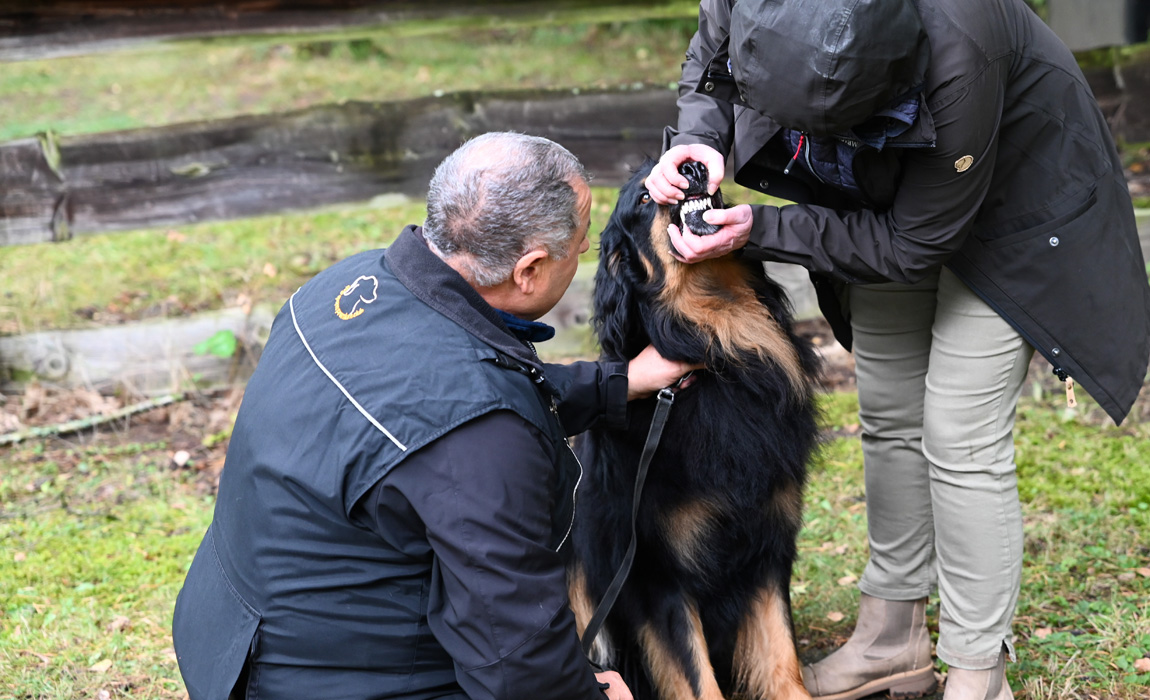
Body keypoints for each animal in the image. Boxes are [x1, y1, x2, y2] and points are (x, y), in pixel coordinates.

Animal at [568, 159, 823, 698]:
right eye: (644, 198)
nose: (691, 165)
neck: (715, 355)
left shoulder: (766, 548)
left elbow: (782, 662)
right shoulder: (656, 574)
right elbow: (697, 679)